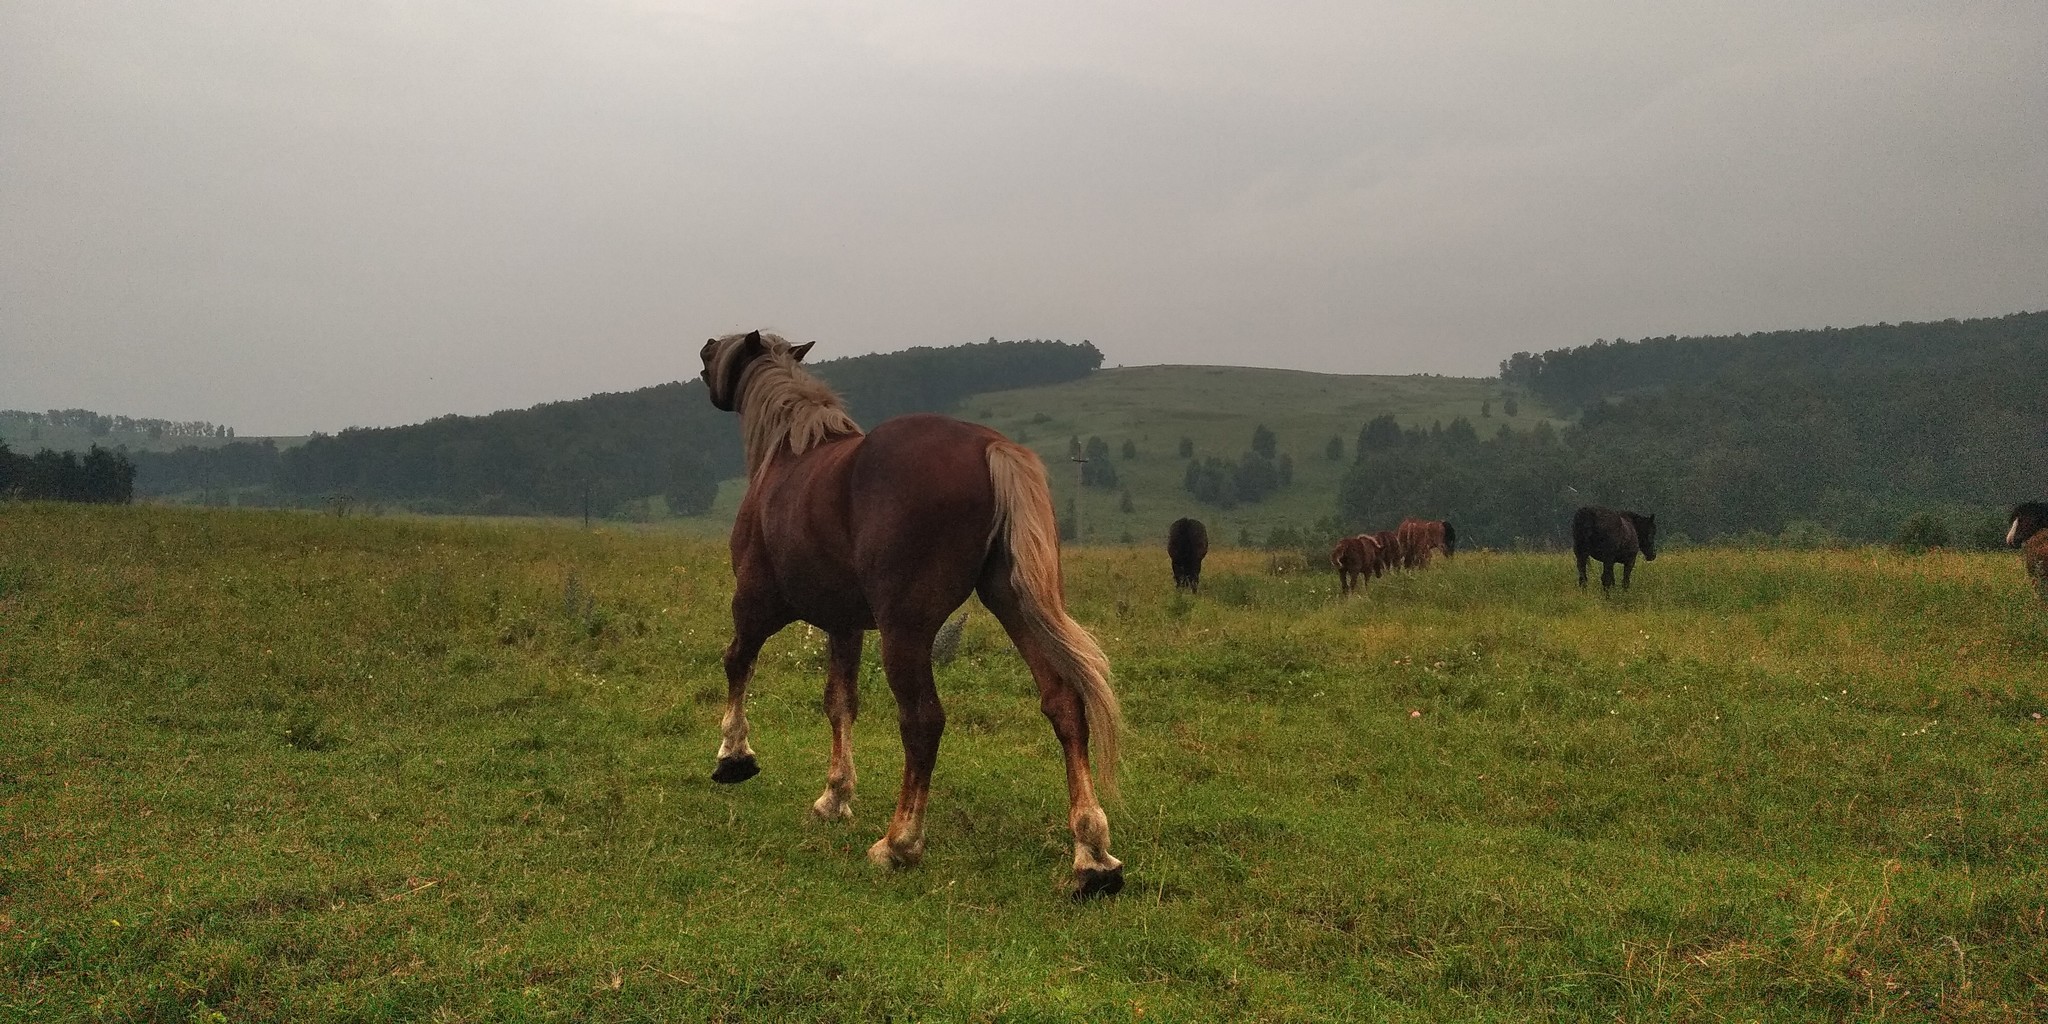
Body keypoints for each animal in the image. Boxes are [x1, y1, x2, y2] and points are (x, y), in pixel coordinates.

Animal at [696, 331, 1130, 901]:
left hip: (906, 632)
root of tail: (993, 448)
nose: (703, 361)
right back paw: (1093, 857)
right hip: (1015, 606)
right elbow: (839, 704)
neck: (789, 457)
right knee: (1064, 704)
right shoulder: (844, 624)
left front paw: (734, 756)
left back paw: (899, 843)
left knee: (923, 721)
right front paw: (834, 797)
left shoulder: (753, 604)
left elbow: (736, 664)